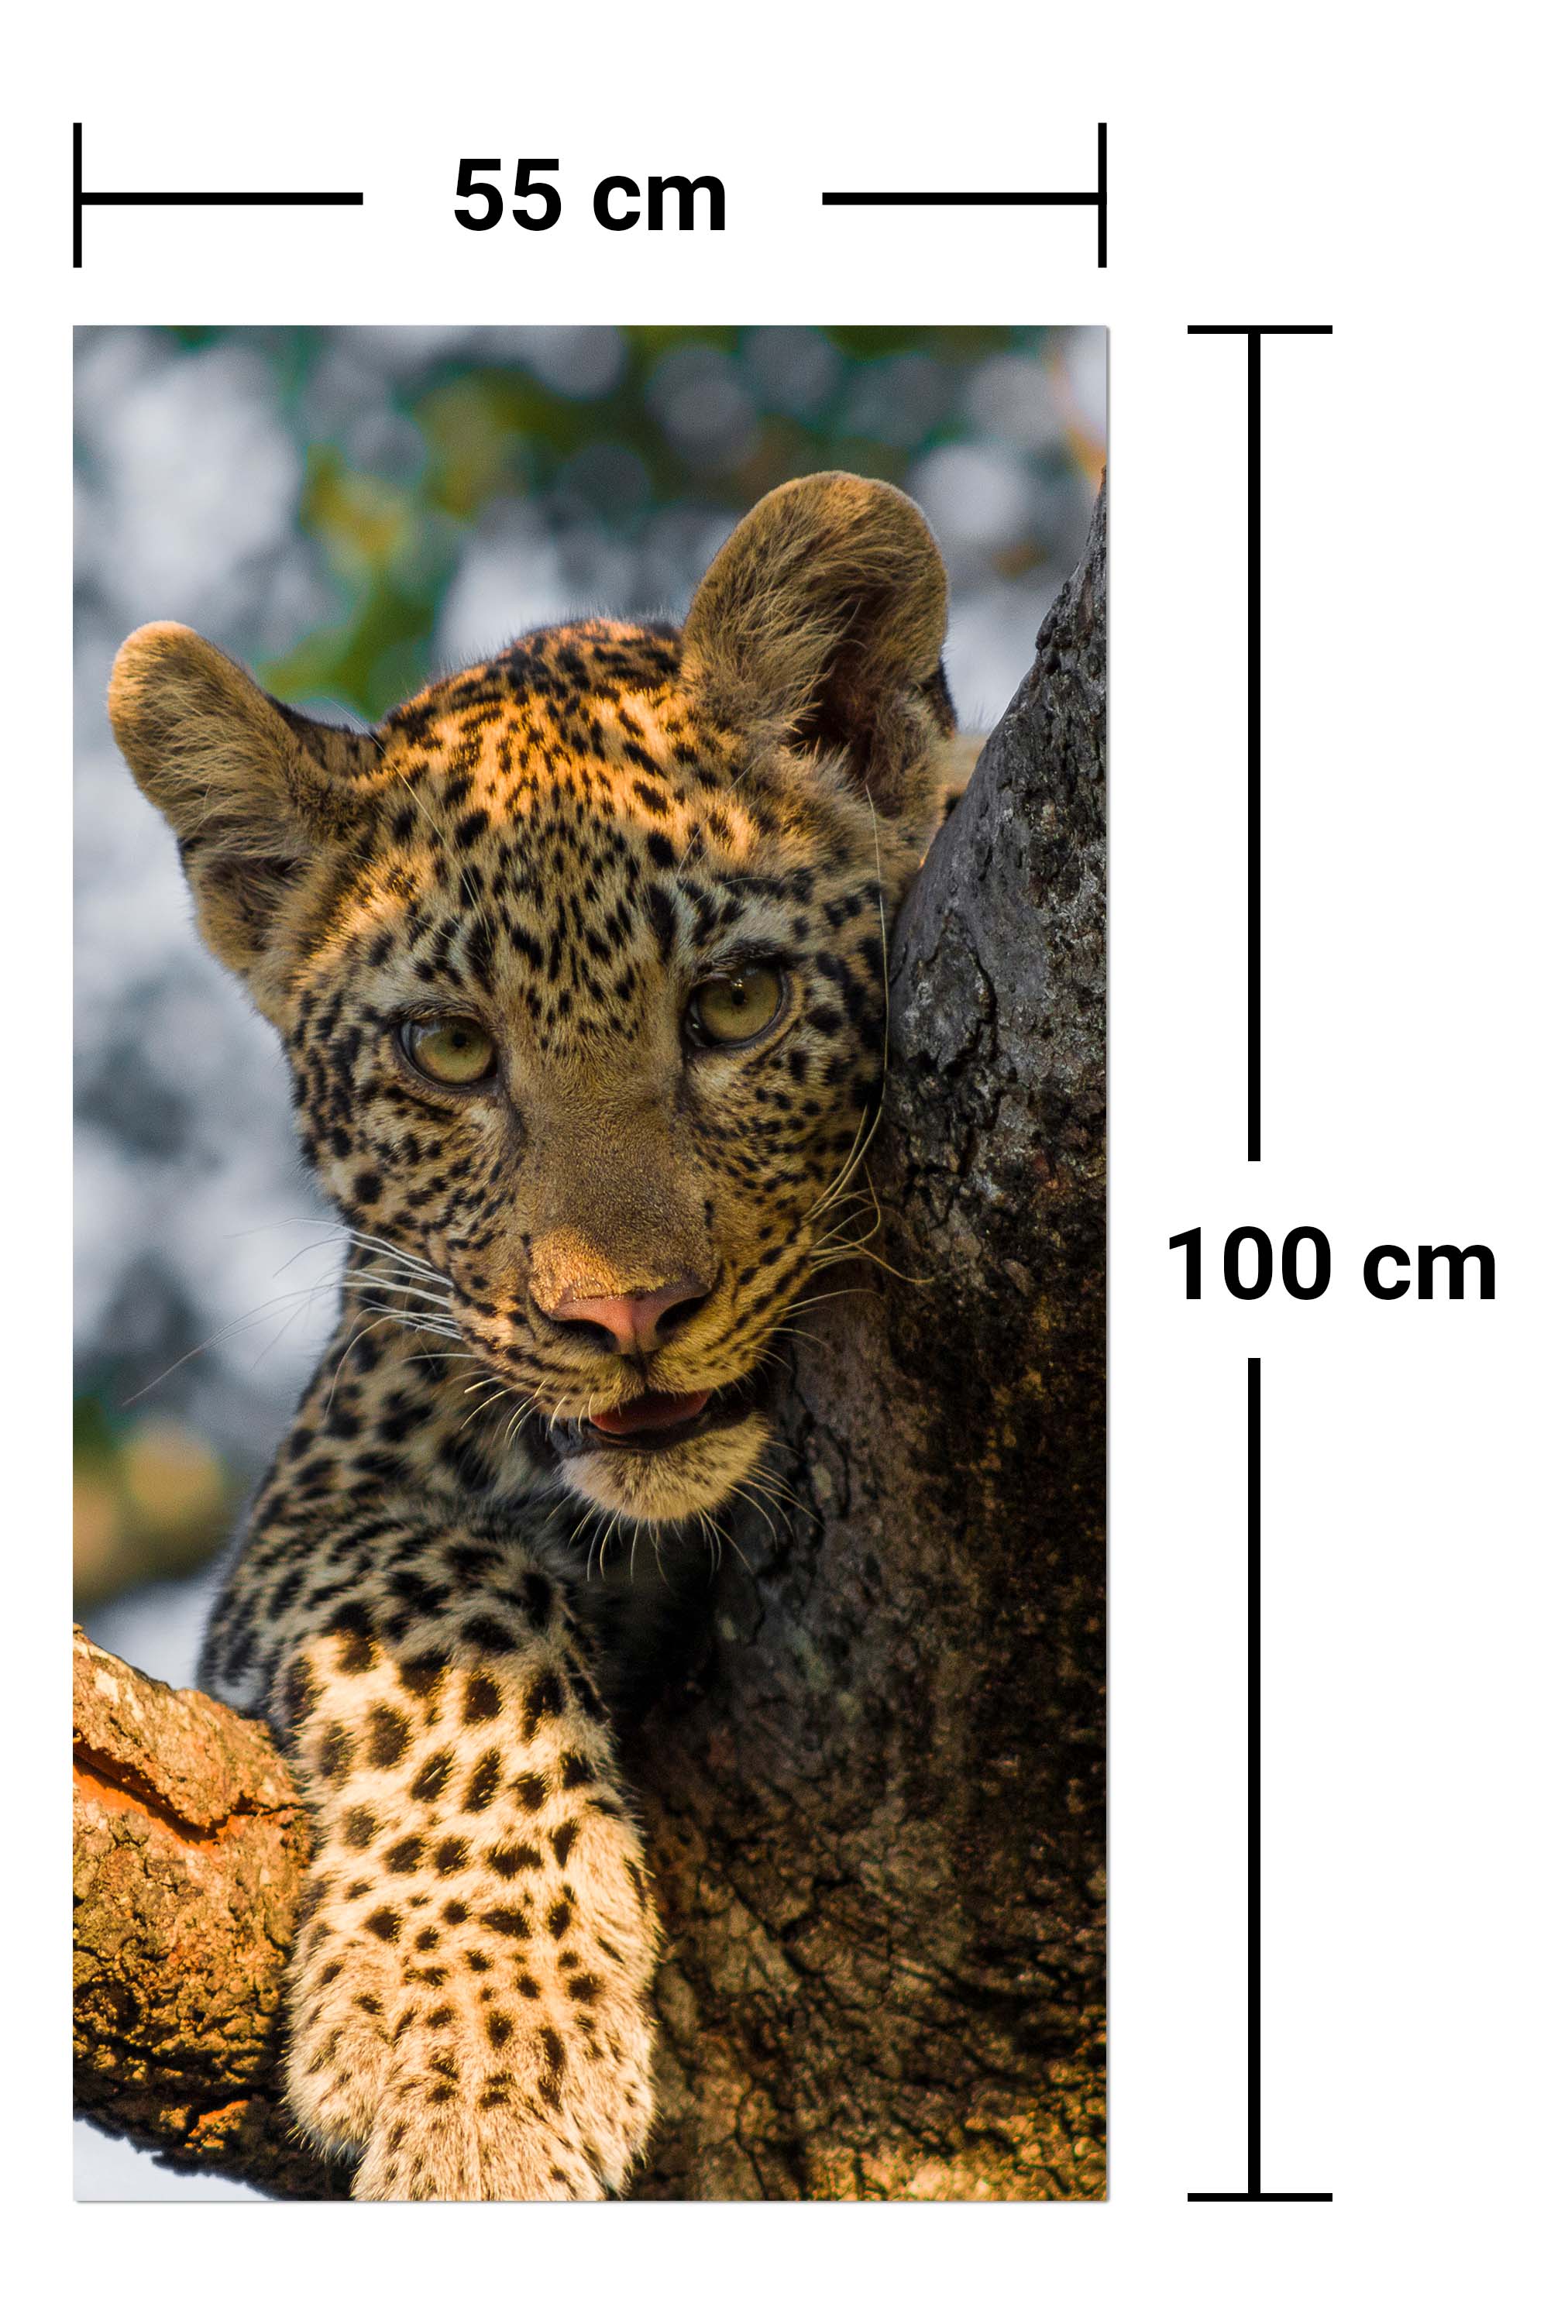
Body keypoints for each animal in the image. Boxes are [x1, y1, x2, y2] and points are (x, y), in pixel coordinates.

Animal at [107, 471, 968, 2201]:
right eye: (447, 1051)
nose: (622, 1312)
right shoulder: (312, 1508)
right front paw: (476, 2053)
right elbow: (449, 1595)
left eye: (738, 1004)